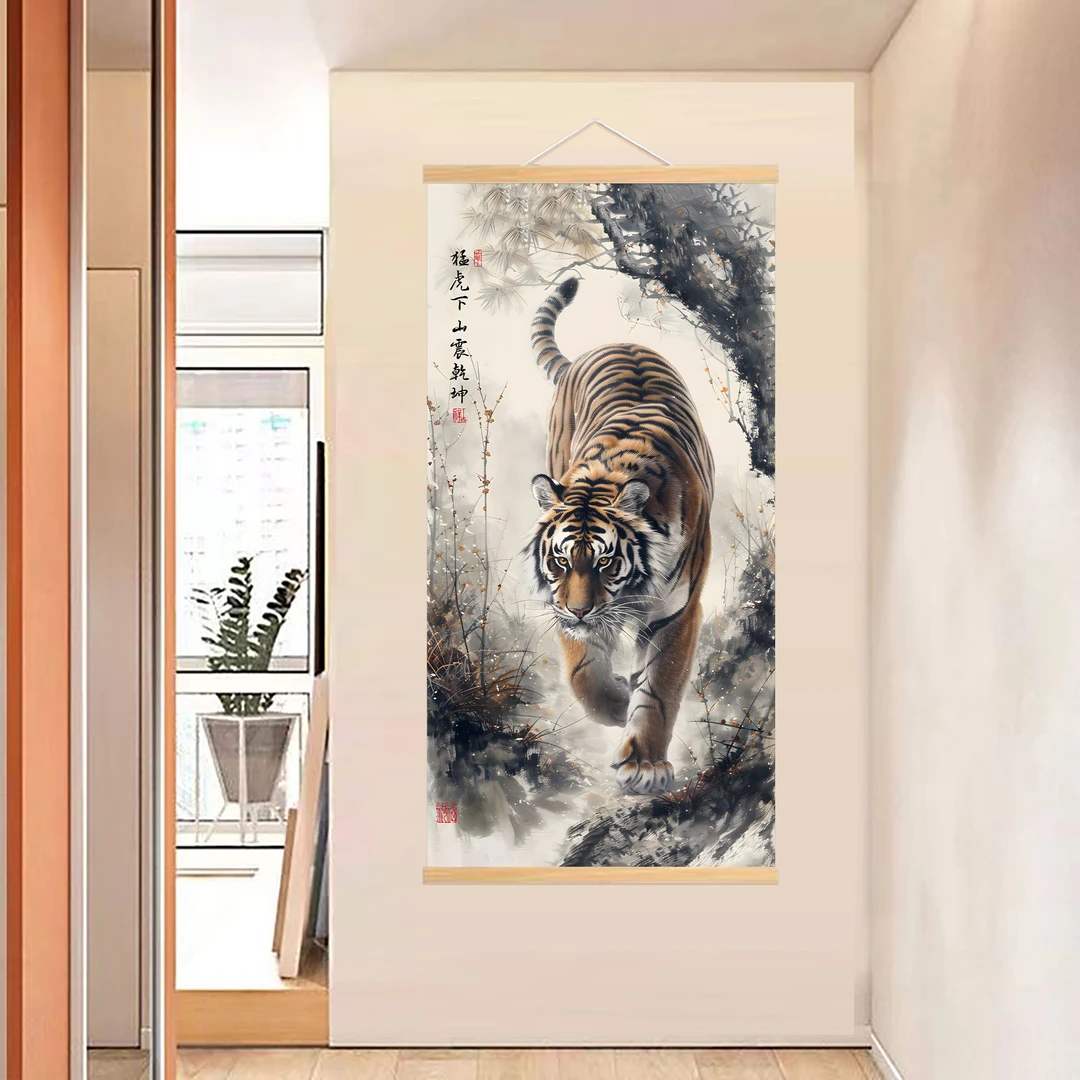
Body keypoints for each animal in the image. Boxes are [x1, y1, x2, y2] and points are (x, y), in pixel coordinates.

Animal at [528, 276, 715, 795]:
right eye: (561, 561)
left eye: (607, 562)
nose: (579, 610)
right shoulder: (564, 607)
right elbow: (583, 674)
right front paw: (614, 704)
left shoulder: (677, 612)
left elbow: (661, 690)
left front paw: (645, 764)